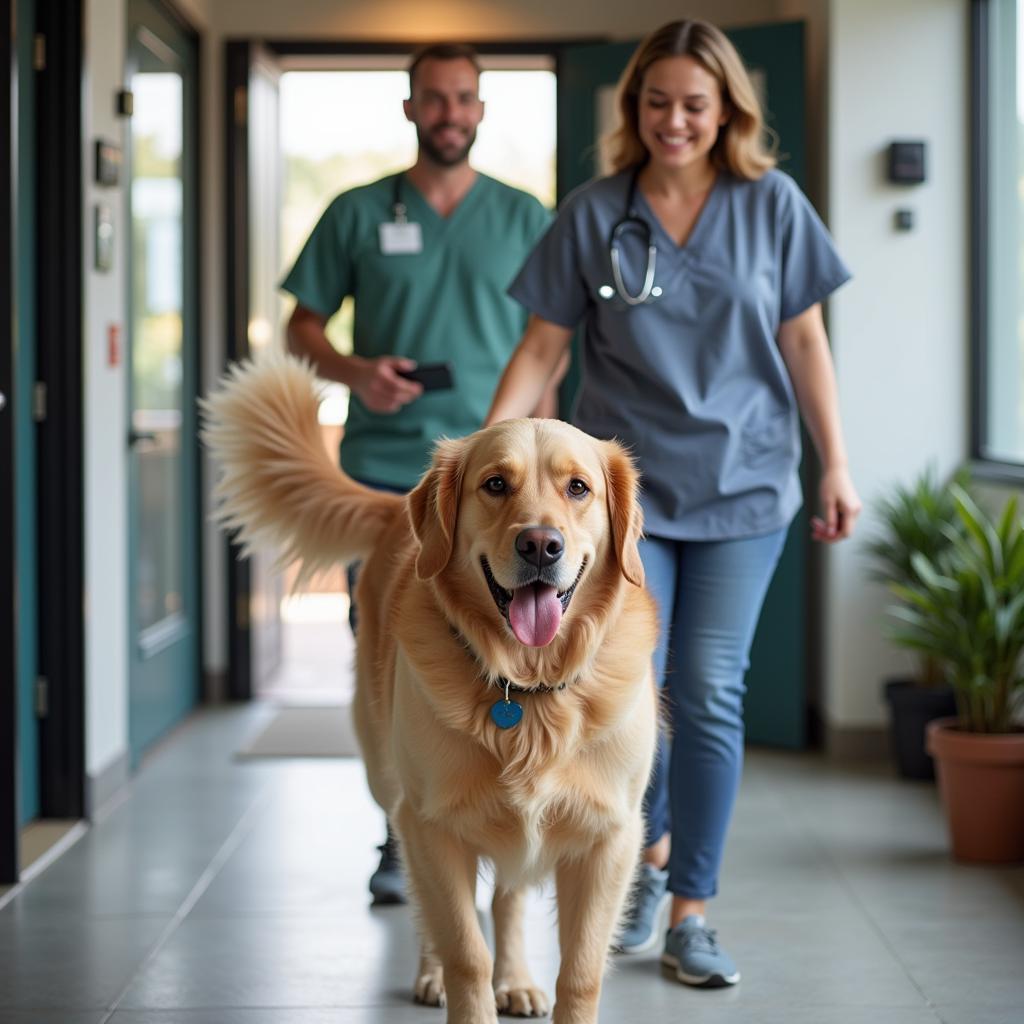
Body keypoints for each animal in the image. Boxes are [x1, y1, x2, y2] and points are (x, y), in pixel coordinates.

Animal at [203, 354, 659, 1024]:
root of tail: (395, 506)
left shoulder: (609, 838)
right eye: (495, 485)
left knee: (508, 899)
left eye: (578, 488)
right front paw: (460, 984)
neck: (527, 688)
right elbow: (464, 950)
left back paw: (517, 978)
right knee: (430, 904)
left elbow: (579, 973)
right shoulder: (434, 826)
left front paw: (531, 982)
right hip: (389, 780)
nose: (540, 545)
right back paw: (431, 974)